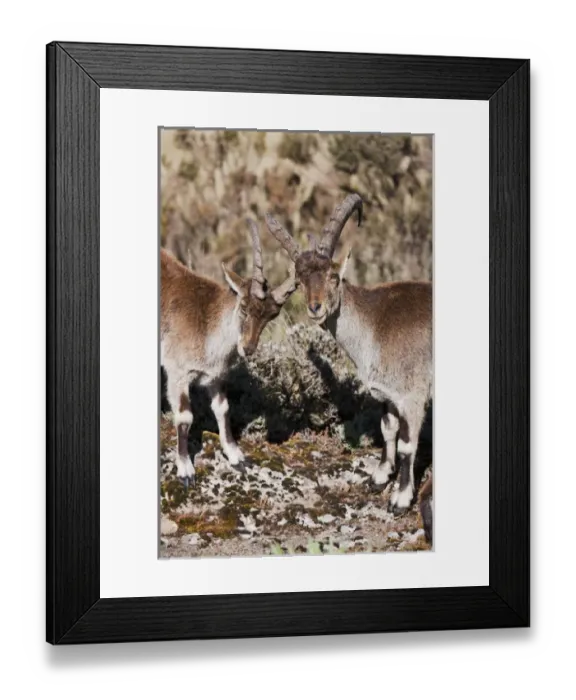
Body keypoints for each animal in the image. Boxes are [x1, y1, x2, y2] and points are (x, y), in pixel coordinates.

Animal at [161, 220, 296, 486]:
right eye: (244, 306)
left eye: (271, 316)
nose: (248, 348)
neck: (206, 324)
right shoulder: (177, 372)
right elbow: (184, 416)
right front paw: (185, 469)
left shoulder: (216, 376)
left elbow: (223, 409)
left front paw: (236, 456)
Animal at [265, 194, 432, 514]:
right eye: (300, 281)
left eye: (333, 276)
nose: (315, 308)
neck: (375, 325)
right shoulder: (388, 395)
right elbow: (388, 429)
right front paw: (379, 477)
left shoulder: (413, 396)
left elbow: (407, 444)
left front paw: (400, 499)